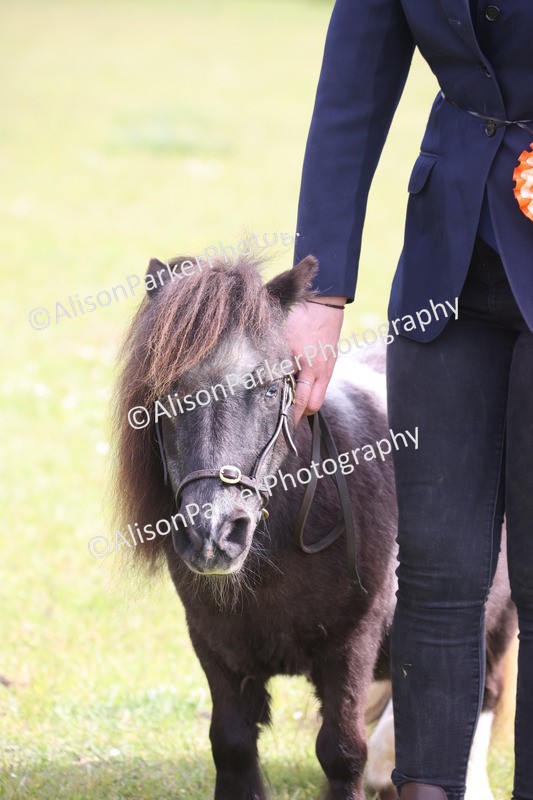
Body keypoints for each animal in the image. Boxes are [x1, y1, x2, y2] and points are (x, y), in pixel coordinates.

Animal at [113, 252, 517, 800]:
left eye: (269, 386)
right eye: (165, 394)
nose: (214, 534)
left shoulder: (351, 647)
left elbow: (342, 751)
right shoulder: (214, 644)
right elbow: (232, 743)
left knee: (483, 693)